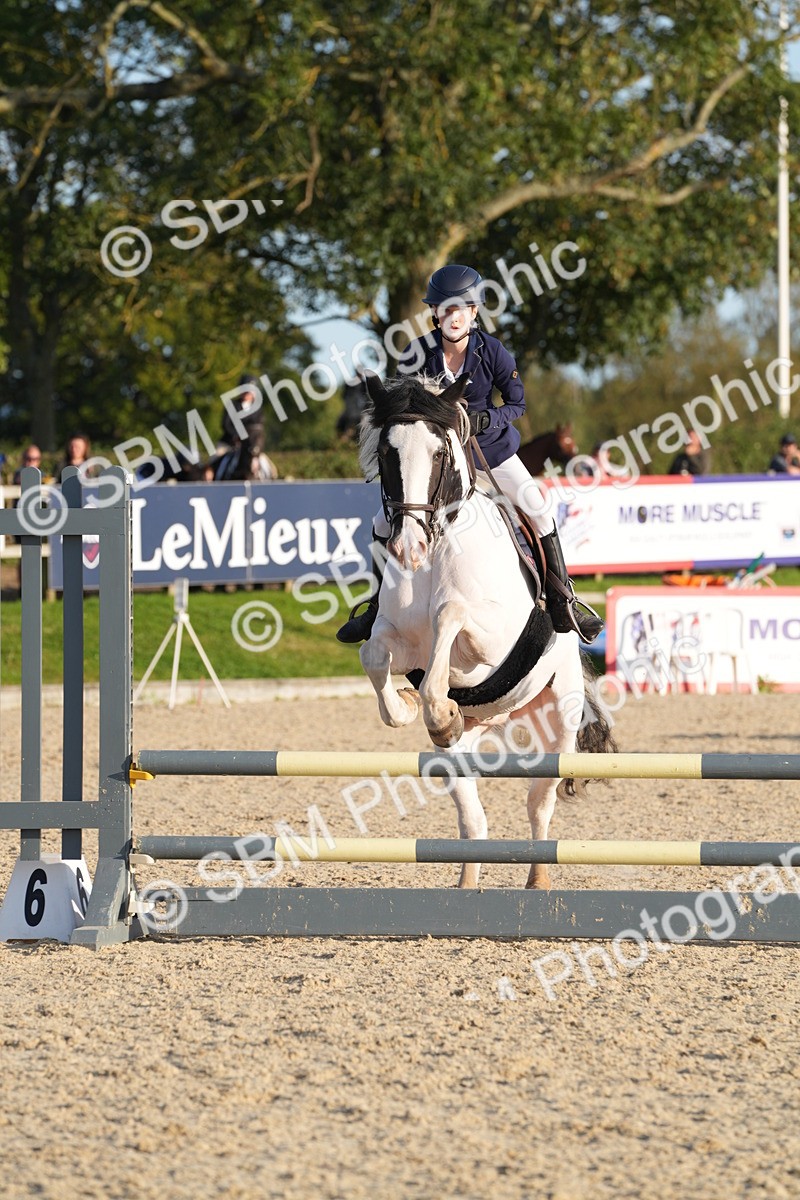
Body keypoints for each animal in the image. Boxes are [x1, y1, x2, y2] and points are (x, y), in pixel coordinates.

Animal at [358, 373, 615, 889]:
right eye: (388, 452)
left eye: (440, 453)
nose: (409, 548)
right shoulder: (399, 639)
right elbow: (375, 656)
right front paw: (416, 706)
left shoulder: (490, 640)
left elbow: (450, 613)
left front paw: (435, 708)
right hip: (474, 737)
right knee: (472, 816)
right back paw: (467, 885)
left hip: (560, 714)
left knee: (540, 802)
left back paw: (537, 881)